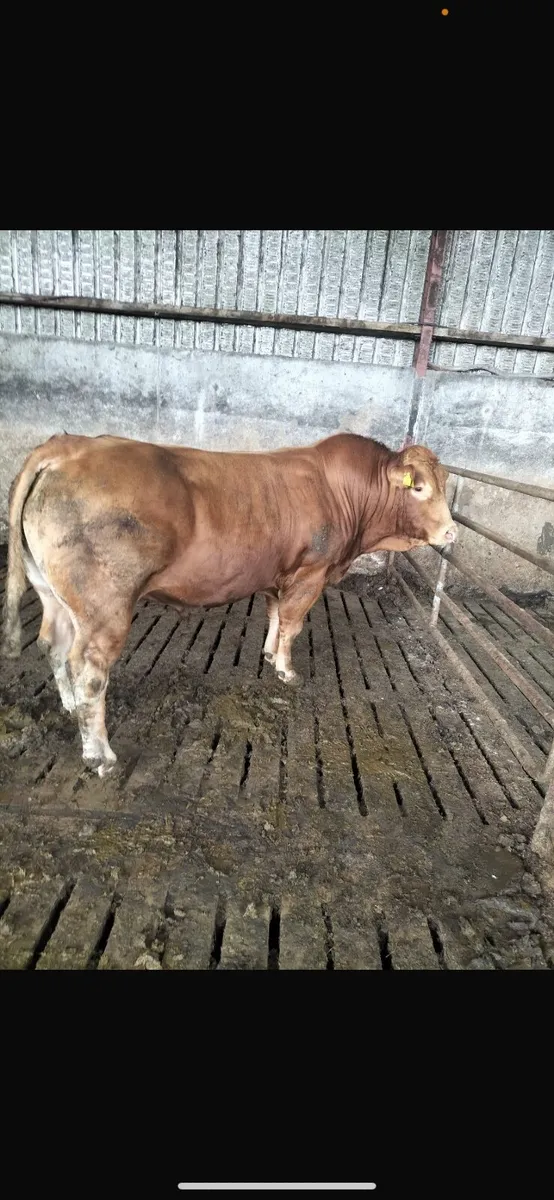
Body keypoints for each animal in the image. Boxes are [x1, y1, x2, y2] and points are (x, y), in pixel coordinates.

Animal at [2, 431, 456, 777]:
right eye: (419, 488)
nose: (452, 532)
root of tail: (72, 445)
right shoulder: (311, 573)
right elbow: (293, 623)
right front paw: (287, 671)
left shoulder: (277, 573)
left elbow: (275, 616)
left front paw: (269, 655)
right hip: (104, 608)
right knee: (90, 672)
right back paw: (100, 755)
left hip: (53, 596)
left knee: (54, 646)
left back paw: (68, 706)